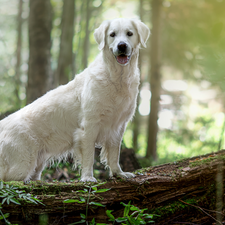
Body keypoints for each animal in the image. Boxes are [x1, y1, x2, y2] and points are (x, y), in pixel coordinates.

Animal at [0, 18, 149, 183]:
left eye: (129, 33)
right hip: (22, 163)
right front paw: (87, 177)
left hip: (38, 162)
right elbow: (89, 156)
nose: (121, 45)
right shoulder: (89, 126)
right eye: (112, 34)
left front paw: (119, 173)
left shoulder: (118, 127)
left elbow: (114, 155)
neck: (117, 78)